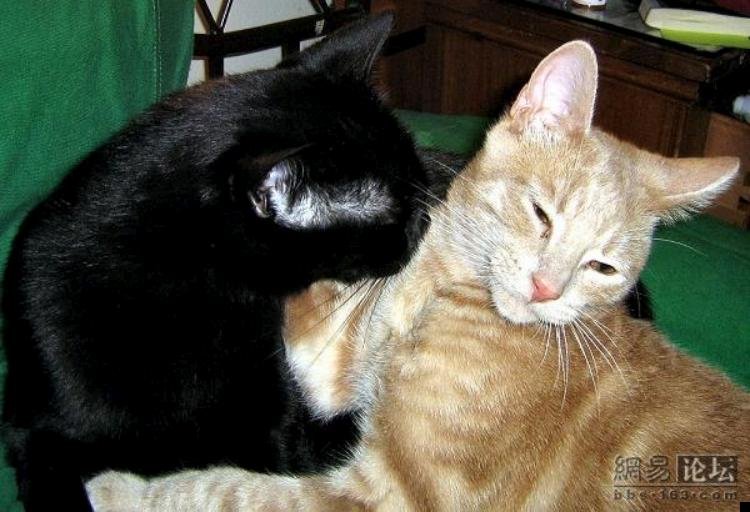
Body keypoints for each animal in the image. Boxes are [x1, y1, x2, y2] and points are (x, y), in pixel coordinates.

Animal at [86, 41, 749, 512]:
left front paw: (118, 489)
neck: (437, 292)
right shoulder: (335, 368)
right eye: (541, 214)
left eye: (602, 267)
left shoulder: (385, 495)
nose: (546, 291)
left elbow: (228, 490)